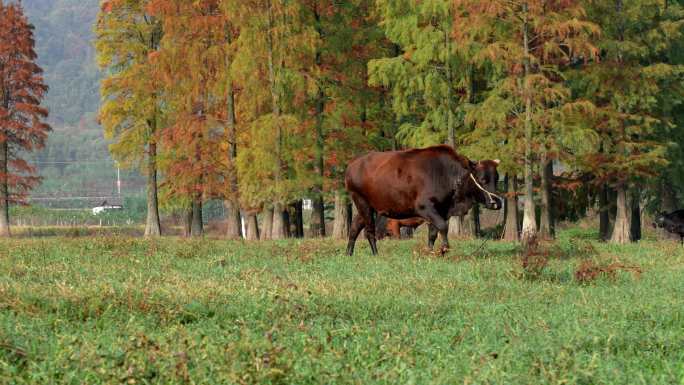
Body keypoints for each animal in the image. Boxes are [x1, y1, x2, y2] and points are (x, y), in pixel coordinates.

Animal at [348, 145, 502, 255]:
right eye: (482, 179)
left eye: (496, 179)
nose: (496, 202)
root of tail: (353, 163)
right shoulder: (425, 208)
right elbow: (442, 226)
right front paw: (444, 249)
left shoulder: (441, 210)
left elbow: (433, 233)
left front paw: (430, 252)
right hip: (362, 202)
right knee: (369, 231)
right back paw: (375, 254)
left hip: (368, 206)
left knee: (355, 227)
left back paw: (349, 253)